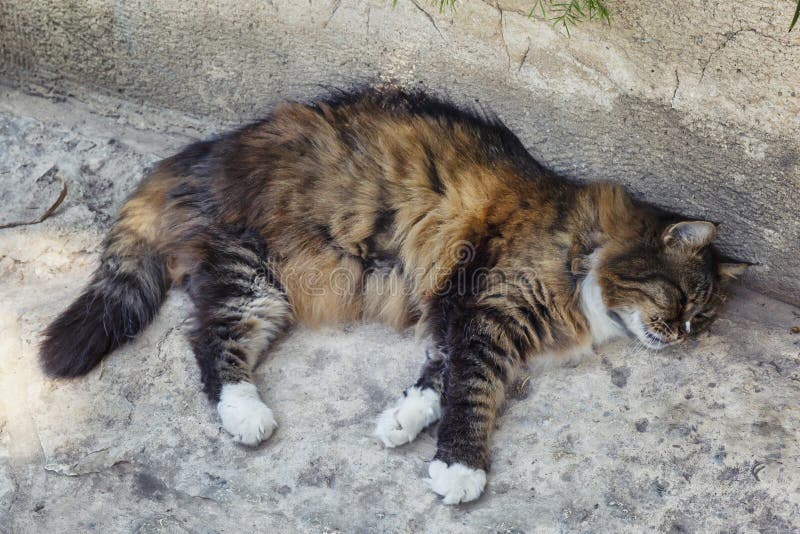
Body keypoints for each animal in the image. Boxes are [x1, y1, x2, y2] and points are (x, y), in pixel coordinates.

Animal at [40, 88, 748, 506]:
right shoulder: (489, 311)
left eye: (704, 316)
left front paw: (401, 422)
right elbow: (473, 391)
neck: (583, 242)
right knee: (211, 342)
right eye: (680, 299)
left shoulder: (461, 319)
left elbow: (439, 379)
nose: (682, 335)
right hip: (254, 274)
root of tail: (206, 150)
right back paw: (247, 415)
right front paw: (460, 468)